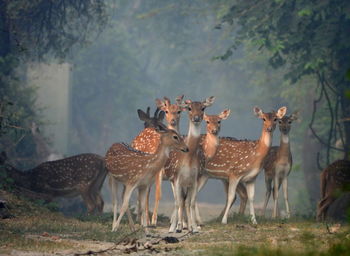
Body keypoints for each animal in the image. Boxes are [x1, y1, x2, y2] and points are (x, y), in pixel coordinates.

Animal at [165, 95, 216, 232]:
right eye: (189, 108)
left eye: (203, 108)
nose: (196, 118)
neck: (188, 161)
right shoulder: (176, 178)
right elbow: (178, 202)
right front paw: (174, 227)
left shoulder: (194, 179)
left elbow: (191, 203)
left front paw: (194, 228)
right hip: (173, 180)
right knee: (179, 201)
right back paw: (177, 226)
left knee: (186, 202)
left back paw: (187, 226)